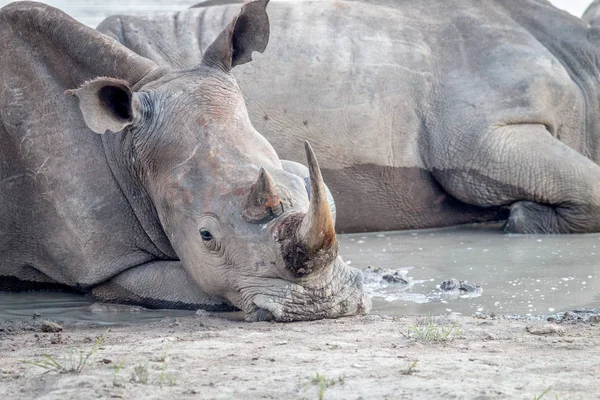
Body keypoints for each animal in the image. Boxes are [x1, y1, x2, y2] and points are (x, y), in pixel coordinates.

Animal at [0, 0, 370, 318]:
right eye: (205, 235)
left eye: (306, 184)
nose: (324, 303)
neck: (127, 148)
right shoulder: (107, 264)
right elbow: (207, 290)